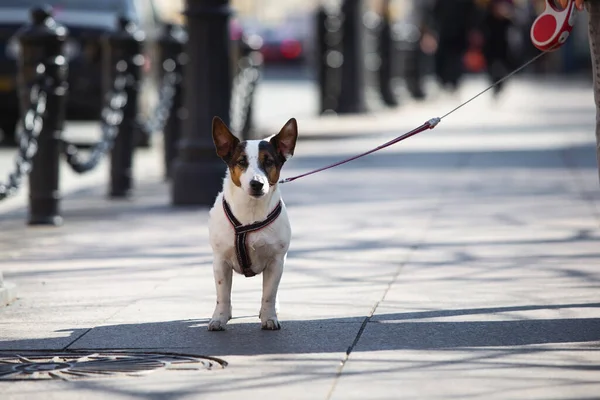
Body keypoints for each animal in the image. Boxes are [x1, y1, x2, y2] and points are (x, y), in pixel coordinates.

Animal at [207, 115, 298, 332]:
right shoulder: (220, 262)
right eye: (242, 161)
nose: (257, 184)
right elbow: (223, 294)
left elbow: (269, 294)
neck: (251, 211)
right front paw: (219, 317)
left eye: (269, 161)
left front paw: (269, 317)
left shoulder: (276, 262)